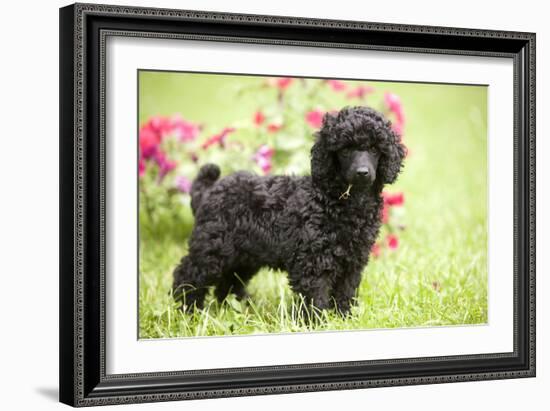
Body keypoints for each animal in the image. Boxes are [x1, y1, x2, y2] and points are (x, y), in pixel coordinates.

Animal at [175, 106, 408, 316]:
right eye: (345, 150)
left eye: (375, 150)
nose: (362, 173)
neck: (340, 200)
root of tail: (209, 190)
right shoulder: (312, 260)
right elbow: (316, 296)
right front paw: (317, 322)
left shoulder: (353, 260)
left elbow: (345, 292)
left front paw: (344, 317)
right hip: (212, 247)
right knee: (188, 274)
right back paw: (188, 311)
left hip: (244, 254)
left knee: (229, 282)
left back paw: (240, 308)